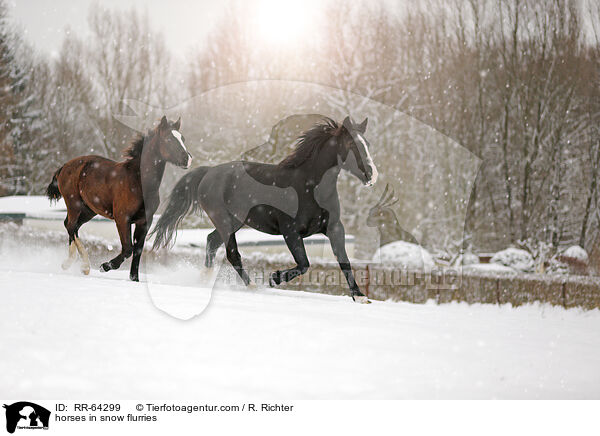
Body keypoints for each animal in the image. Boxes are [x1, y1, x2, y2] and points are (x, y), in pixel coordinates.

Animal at [45, 114, 191, 282]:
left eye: (183, 138)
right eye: (168, 139)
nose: (187, 159)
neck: (139, 181)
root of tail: (64, 166)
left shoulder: (144, 221)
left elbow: (138, 250)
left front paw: (134, 279)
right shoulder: (122, 218)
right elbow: (128, 249)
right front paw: (105, 266)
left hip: (89, 210)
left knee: (71, 226)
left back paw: (72, 264)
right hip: (74, 204)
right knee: (70, 226)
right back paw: (83, 266)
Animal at [152, 116, 378, 304]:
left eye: (367, 144)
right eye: (351, 144)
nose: (371, 175)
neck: (310, 186)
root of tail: (208, 172)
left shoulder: (334, 228)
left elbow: (344, 261)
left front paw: (360, 296)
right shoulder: (290, 231)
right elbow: (304, 264)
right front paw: (274, 278)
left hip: (235, 221)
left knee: (211, 241)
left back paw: (205, 279)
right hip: (224, 219)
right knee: (232, 253)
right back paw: (252, 286)